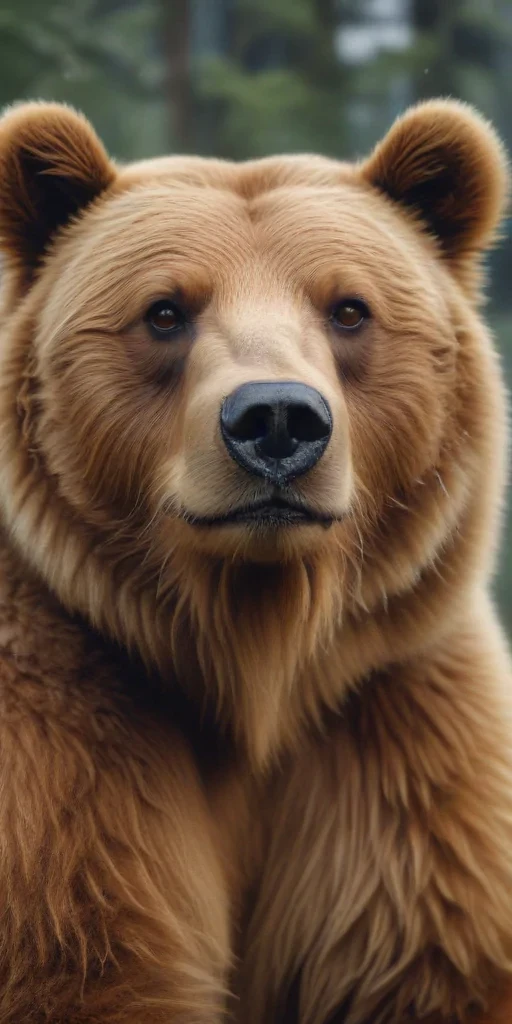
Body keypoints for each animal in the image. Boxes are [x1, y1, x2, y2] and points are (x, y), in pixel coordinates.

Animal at [0, 95, 510, 1024]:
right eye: (165, 310)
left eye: (349, 308)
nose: (276, 418)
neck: (256, 654)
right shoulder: (64, 739)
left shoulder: (398, 746)